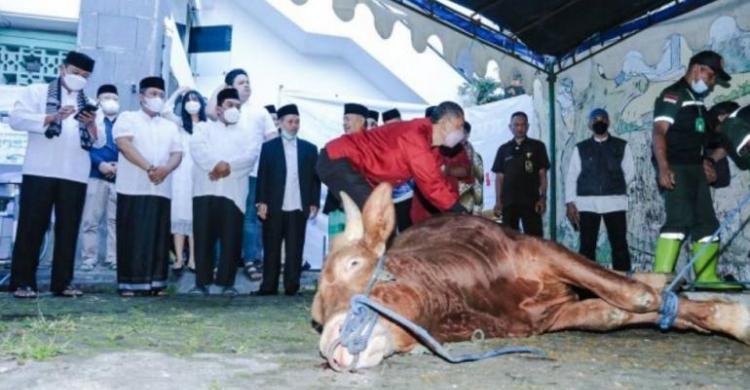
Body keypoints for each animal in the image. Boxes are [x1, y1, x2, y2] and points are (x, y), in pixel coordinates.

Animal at [312, 183, 750, 372]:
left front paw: (734, 316)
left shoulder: (539, 249)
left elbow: (632, 295)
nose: (330, 344)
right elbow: (616, 312)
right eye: (316, 318)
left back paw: (663, 275)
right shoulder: (549, 318)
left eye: (353, 264)